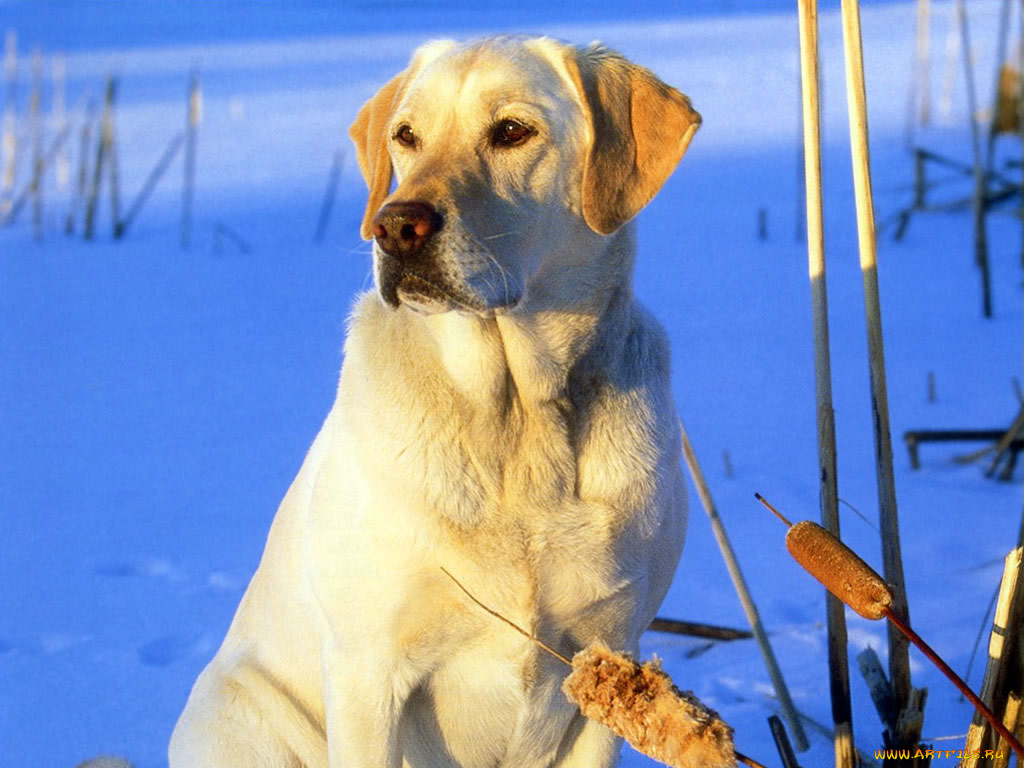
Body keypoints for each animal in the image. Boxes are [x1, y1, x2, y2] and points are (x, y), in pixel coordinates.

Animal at [172, 34, 700, 768]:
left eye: (512, 131)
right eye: (406, 136)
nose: (396, 226)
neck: (516, 418)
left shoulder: (611, 658)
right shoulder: (368, 672)